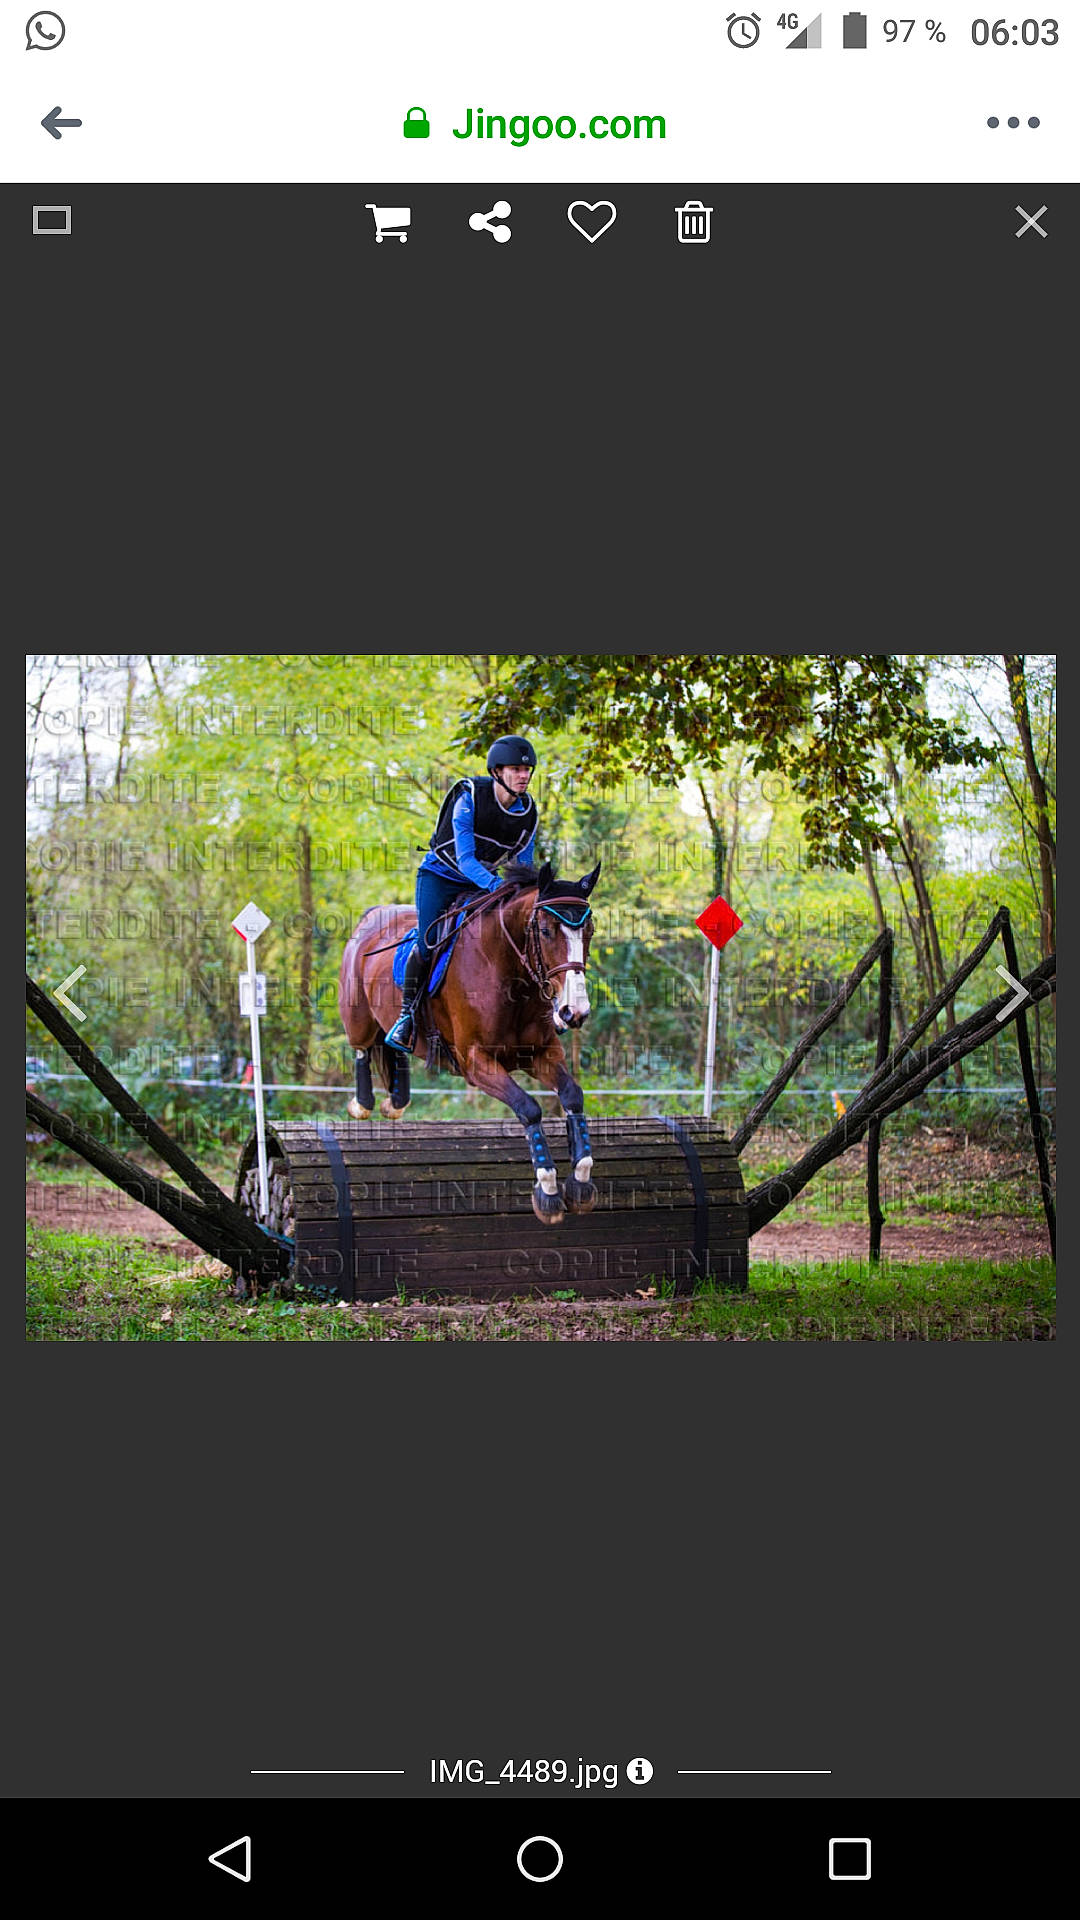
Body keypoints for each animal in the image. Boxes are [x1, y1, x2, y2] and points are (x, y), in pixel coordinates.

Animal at [337, 860, 600, 1225]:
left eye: (589, 931)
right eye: (546, 931)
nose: (574, 1012)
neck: (509, 972)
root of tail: (372, 915)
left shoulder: (541, 1053)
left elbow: (573, 1095)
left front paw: (581, 1181)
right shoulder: (475, 1062)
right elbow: (529, 1108)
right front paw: (547, 1189)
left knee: (394, 1049)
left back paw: (396, 1101)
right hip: (358, 1018)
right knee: (363, 1049)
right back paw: (362, 1105)